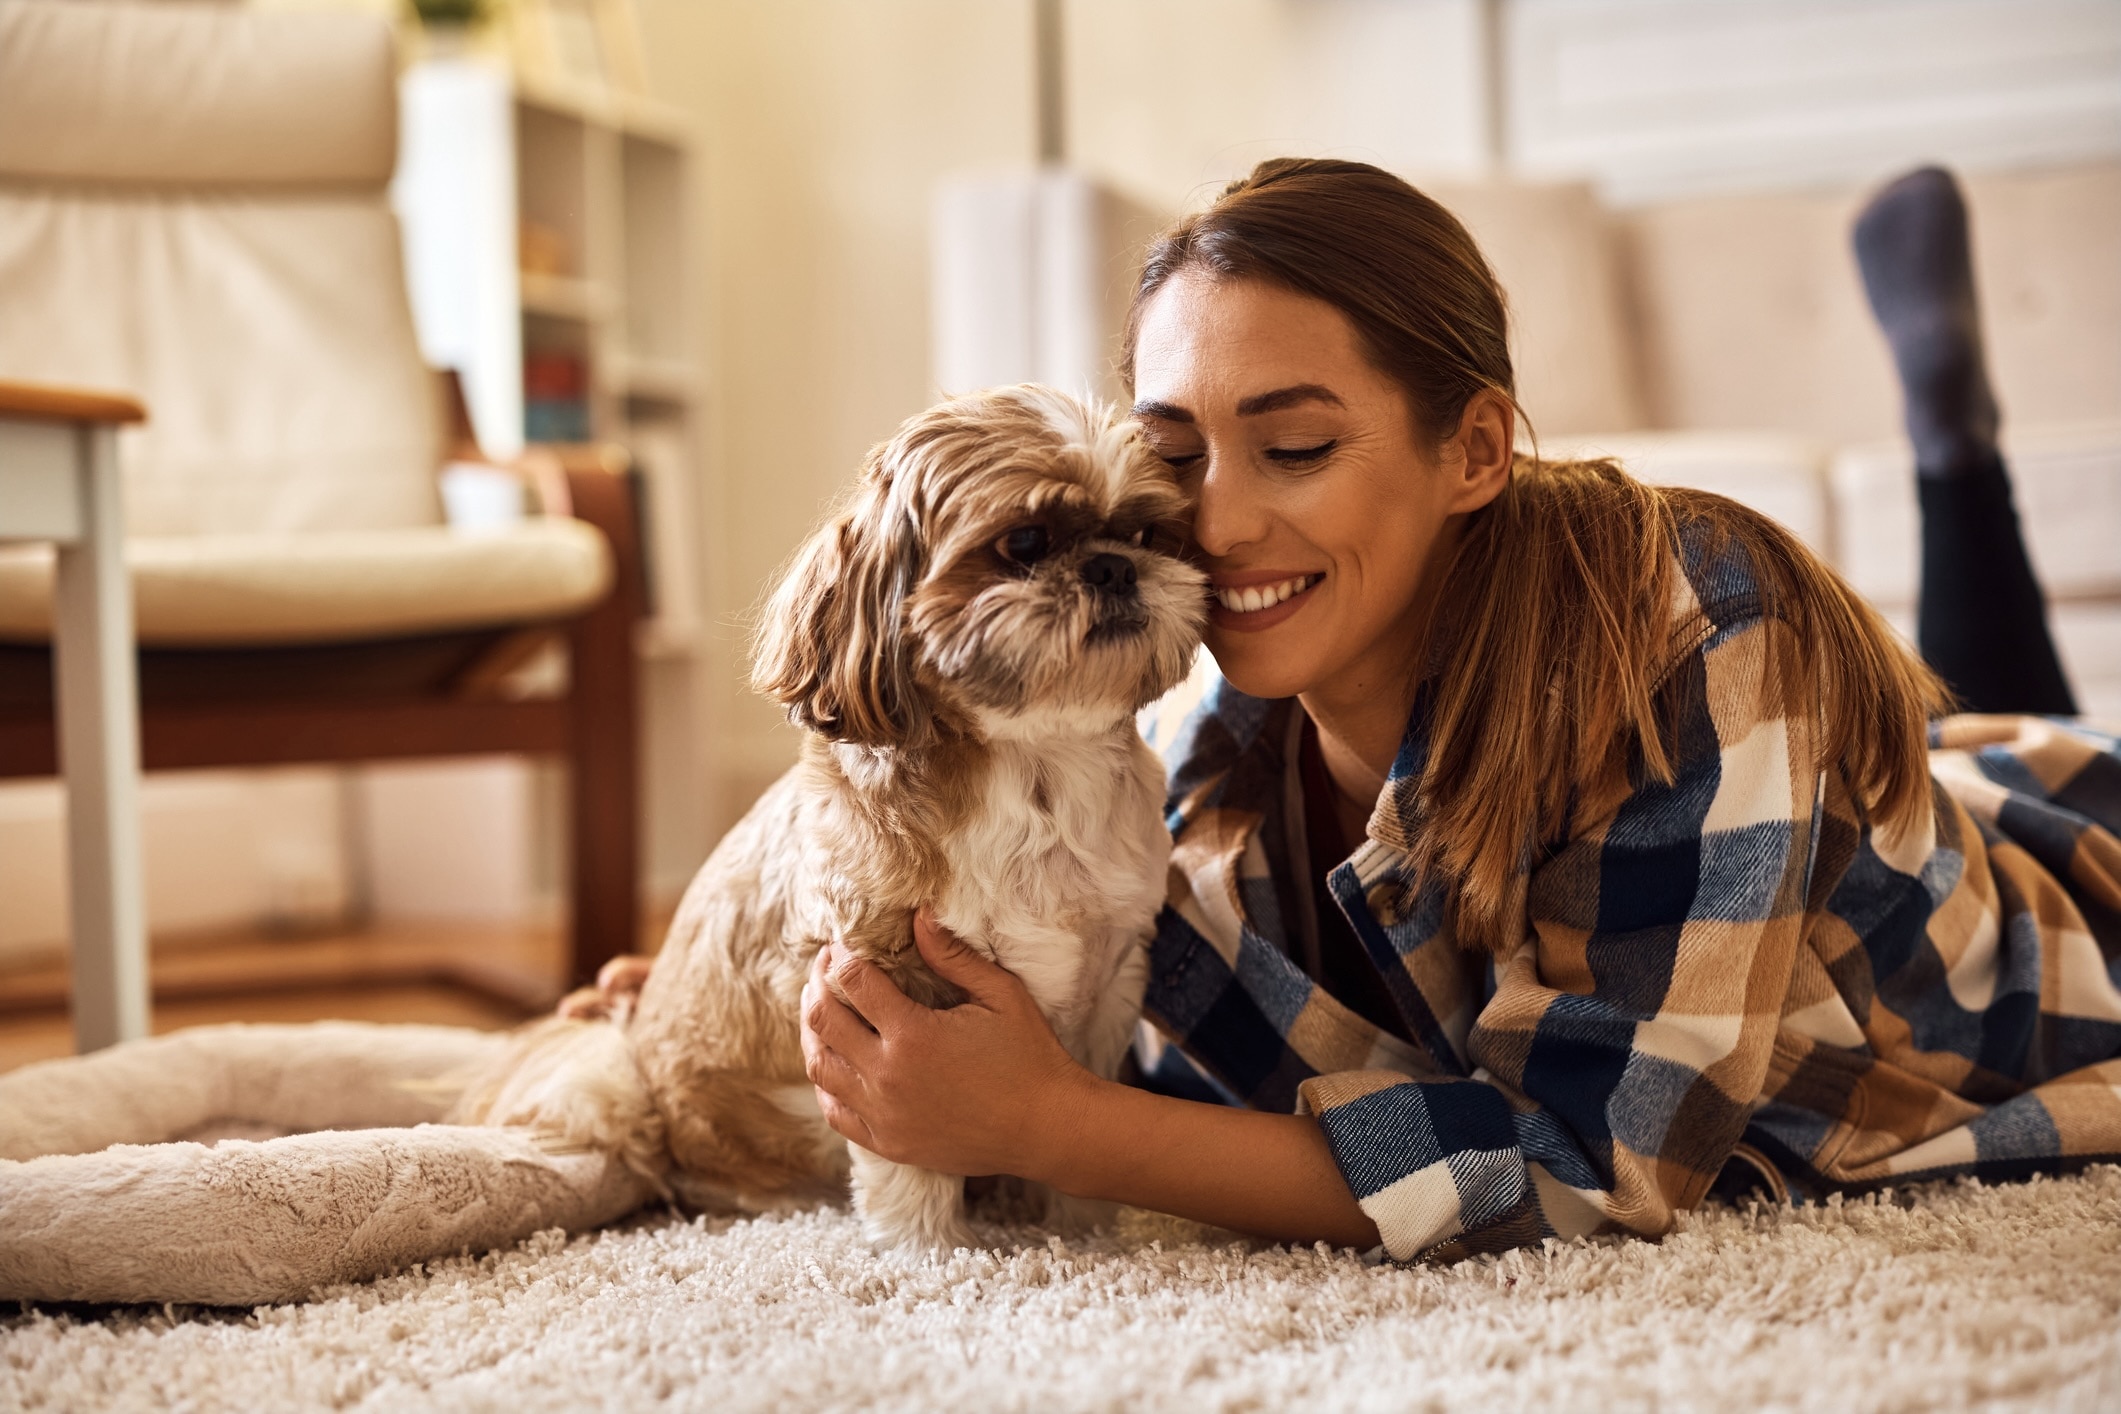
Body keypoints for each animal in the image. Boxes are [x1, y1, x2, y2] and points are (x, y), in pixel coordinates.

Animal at [453, 383, 1204, 1246]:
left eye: (1148, 534)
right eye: (1023, 541)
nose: (1115, 566)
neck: (1037, 771)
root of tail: (628, 1048)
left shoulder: (1109, 975)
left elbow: (1073, 1129)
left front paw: (1078, 1232)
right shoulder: (880, 993)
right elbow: (912, 1157)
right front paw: (926, 1249)